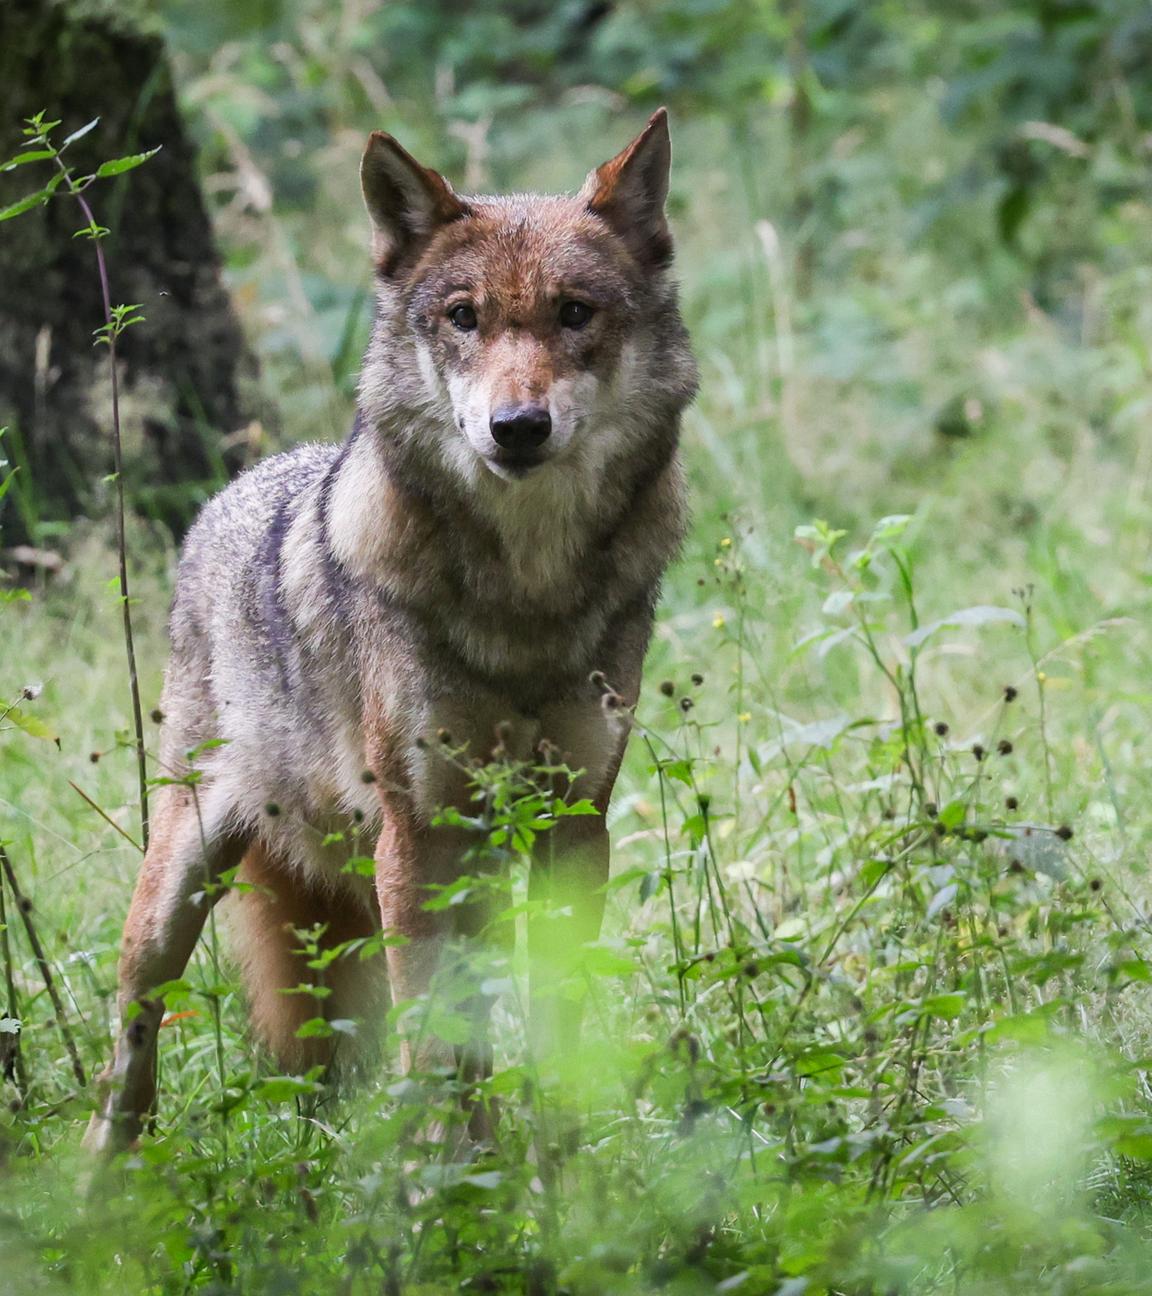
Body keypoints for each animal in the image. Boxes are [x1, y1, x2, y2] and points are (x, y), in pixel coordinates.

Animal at [85, 109, 697, 1155]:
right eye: (463, 317)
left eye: (575, 313)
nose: (517, 427)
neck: (524, 597)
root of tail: (228, 495)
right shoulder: (417, 836)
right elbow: (432, 1038)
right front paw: (443, 1178)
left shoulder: (575, 824)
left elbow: (554, 1023)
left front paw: (561, 1169)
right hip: (179, 888)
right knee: (130, 1046)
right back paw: (102, 1181)